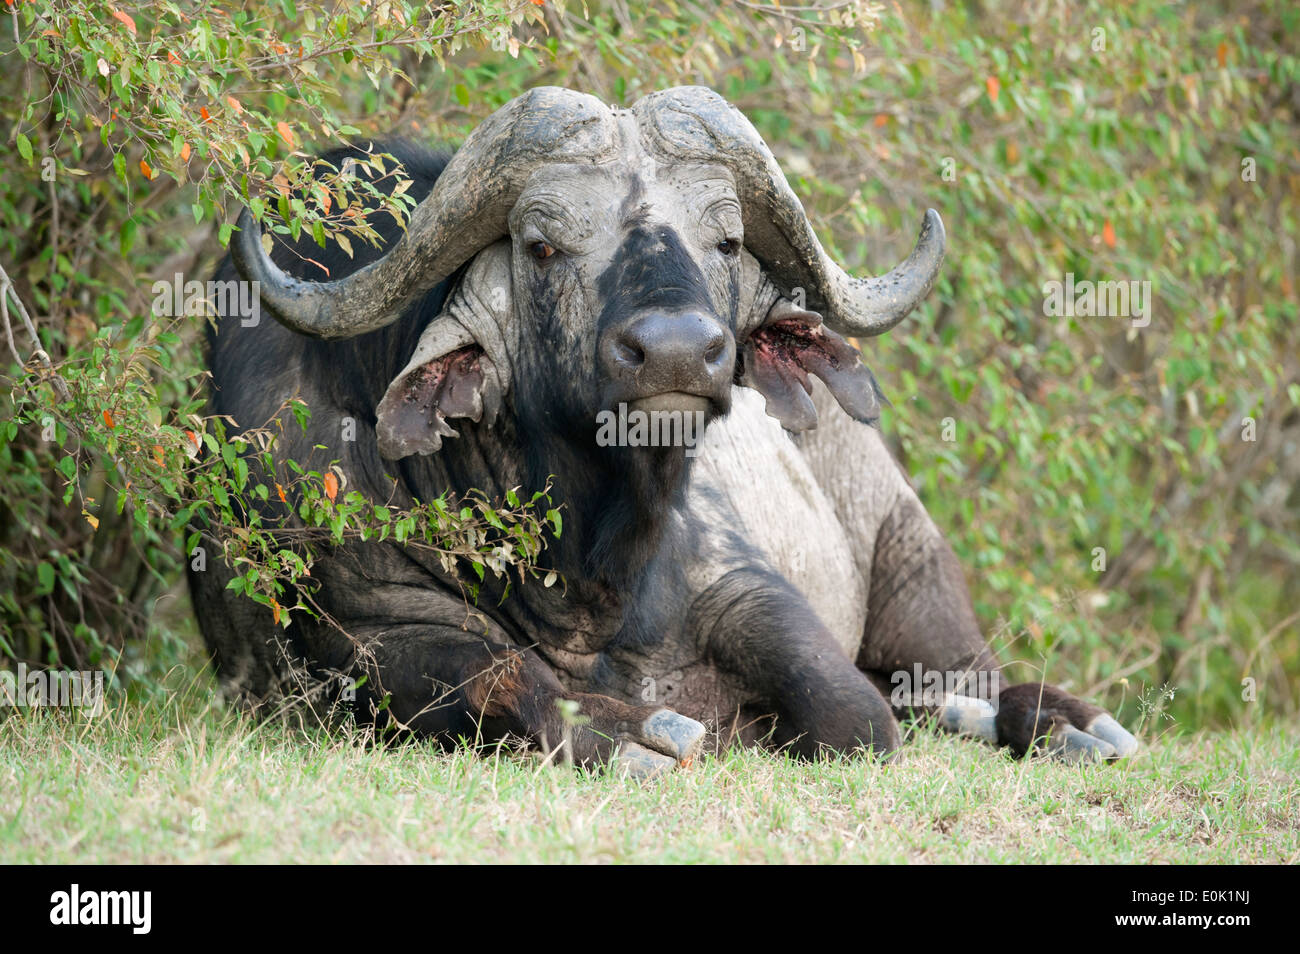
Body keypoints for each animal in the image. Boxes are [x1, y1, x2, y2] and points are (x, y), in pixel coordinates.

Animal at [189, 86, 1137, 774]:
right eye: (541, 244)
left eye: (725, 240)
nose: (679, 352)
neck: (578, 572)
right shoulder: (358, 637)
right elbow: (495, 675)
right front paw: (628, 734)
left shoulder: (742, 583)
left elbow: (852, 713)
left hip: (910, 548)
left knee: (960, 677)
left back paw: (1066, 725)